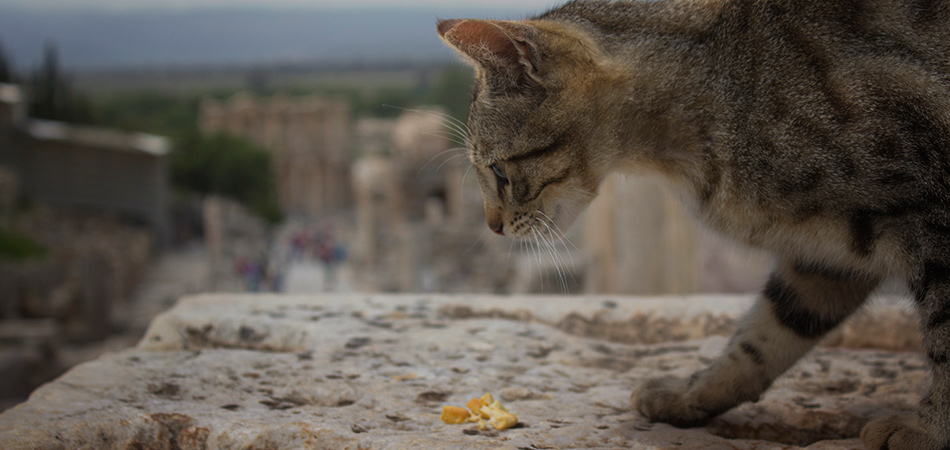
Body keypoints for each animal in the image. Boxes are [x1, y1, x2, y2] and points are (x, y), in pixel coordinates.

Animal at [440, 1, 950, 448]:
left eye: (499, 172)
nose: (492, 227)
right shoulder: (827, 254)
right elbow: (766, 334)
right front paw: (692, 394)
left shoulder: (931, 221)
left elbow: (945, 335)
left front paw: (931, 431)